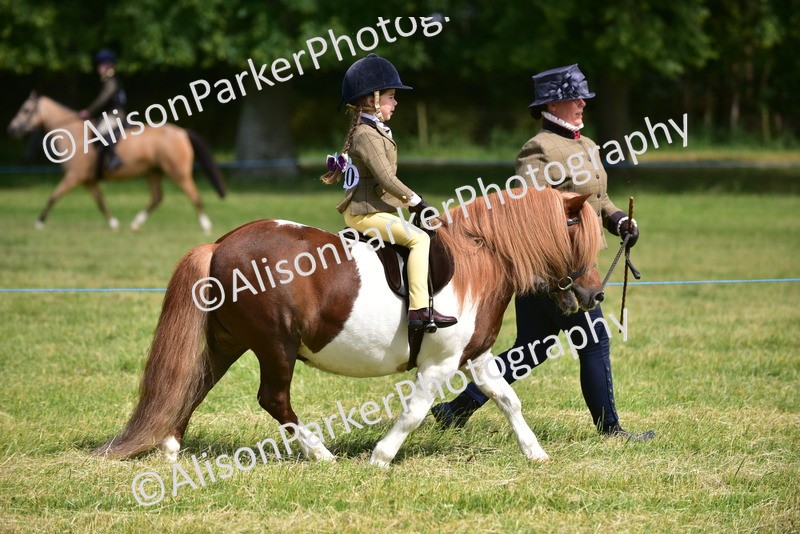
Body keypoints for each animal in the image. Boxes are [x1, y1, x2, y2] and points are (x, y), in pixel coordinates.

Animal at [7, 92, 226, 234]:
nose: (12, 129)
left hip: (178, 173)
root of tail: (181, 132)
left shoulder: (74, 177)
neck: (75, 135)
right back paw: (136, 223)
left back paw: (205, 226)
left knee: (194, 195)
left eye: (26, 109)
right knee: (157, 198)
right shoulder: (88, 181)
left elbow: (54, 196)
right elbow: (101, 201)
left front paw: (39, 222)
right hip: (154, 172)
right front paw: (113, 224)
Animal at [93, 185, 603, 466]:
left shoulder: (474, 355)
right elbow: (415, 412)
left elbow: (507, 399)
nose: (594, 296)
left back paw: (170, 448)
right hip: (275, 345)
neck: (478, 254)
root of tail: (219, 245)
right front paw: (380, 457)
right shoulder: (439, 363)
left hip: (227, 342)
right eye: (578, 235)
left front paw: (535, 453)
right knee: (273, 399)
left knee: (195, 383)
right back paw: (320, 453)